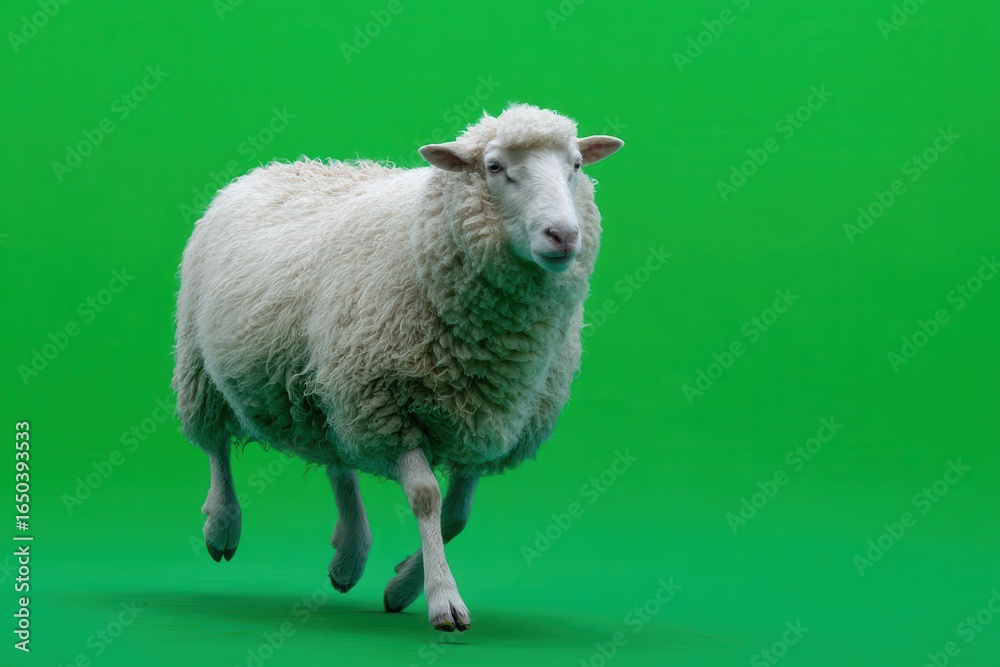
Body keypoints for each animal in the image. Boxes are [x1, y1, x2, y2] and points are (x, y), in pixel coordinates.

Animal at [172, 103, 623, 631]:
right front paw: (443, 598)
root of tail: (274, 167)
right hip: (201, 363)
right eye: (494, 167)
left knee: (337, 459)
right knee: (215, 445)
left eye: (576, 165)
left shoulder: (487, 418)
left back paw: (349, 556)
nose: (564, 235)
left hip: (327, 384)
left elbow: (456, 516)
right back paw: (223, 527)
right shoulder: (392, 407)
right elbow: (428, 498)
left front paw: (403, 586)